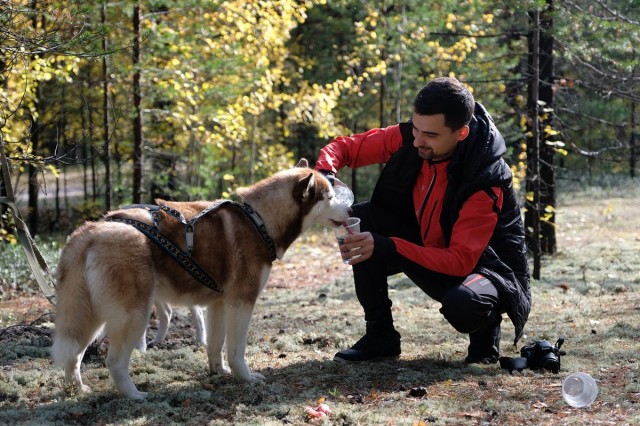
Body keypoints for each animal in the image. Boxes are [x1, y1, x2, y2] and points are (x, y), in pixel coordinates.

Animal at [51, 159, 350, 400]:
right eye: (330, 196)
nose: (350, 211)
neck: (259, 221)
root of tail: (90, 231)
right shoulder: (241, 303)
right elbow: (237, 349)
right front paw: (246, 377)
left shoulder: (218, 305)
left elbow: (216, 346)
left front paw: (219, 372)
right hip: (133, 315)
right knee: (113, 361)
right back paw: (134, 395)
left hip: (89, 316)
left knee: (74, 355)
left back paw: (77, 390)